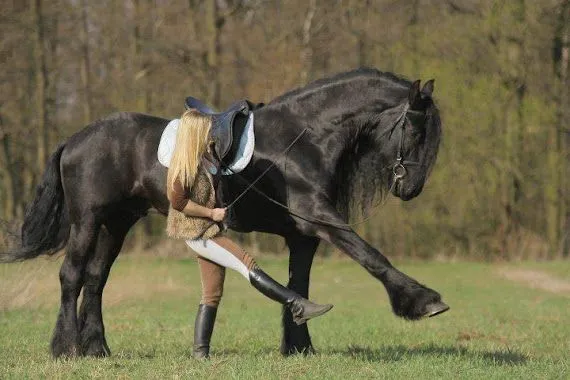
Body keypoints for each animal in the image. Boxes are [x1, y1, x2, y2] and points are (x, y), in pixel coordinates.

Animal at [0, 67, 444, 356]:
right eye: (416, 129)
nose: (411, 188)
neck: (303, 138)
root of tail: (75, 139)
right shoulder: (320, 219)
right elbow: (370, 255)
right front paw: (422, 301)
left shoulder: (303, 234)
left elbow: (298, 282)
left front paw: (299, 346)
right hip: (88, 221)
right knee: (72, 276)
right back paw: (66, 348)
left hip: (117, 223)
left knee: (95, 279)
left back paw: (97, 348)